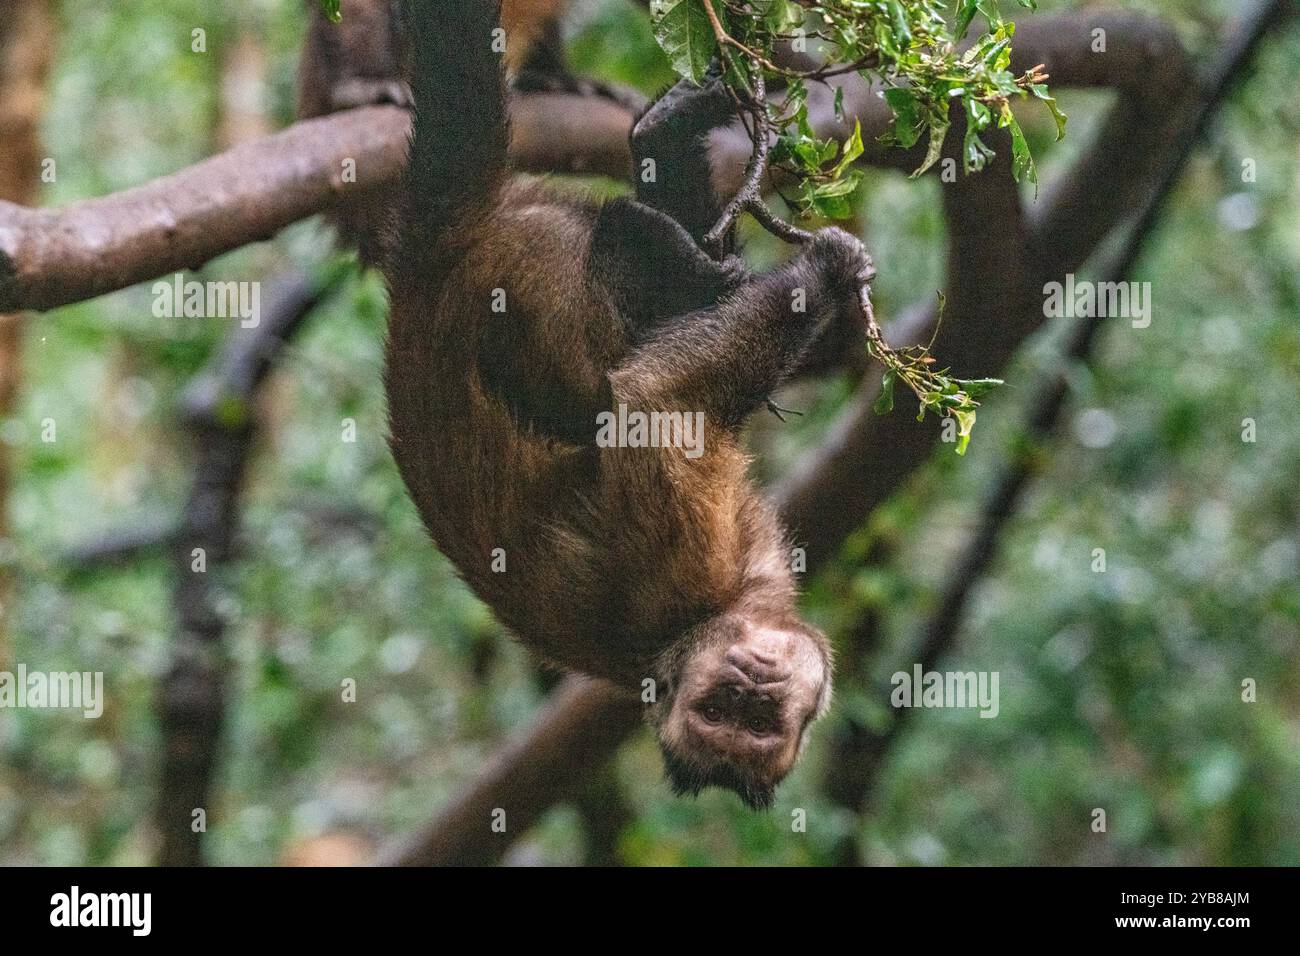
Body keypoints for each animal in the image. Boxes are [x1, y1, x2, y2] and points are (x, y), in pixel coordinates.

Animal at [382, 0, 873, 806]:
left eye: (760, 722)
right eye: (723, 710)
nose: (755, 682)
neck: (726, 609)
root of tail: (421, 281)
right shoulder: (682, 565)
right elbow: (654, 396)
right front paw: (823, 274)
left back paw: (663, 143)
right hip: (519, 288)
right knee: (602, 348)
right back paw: (662, 247)